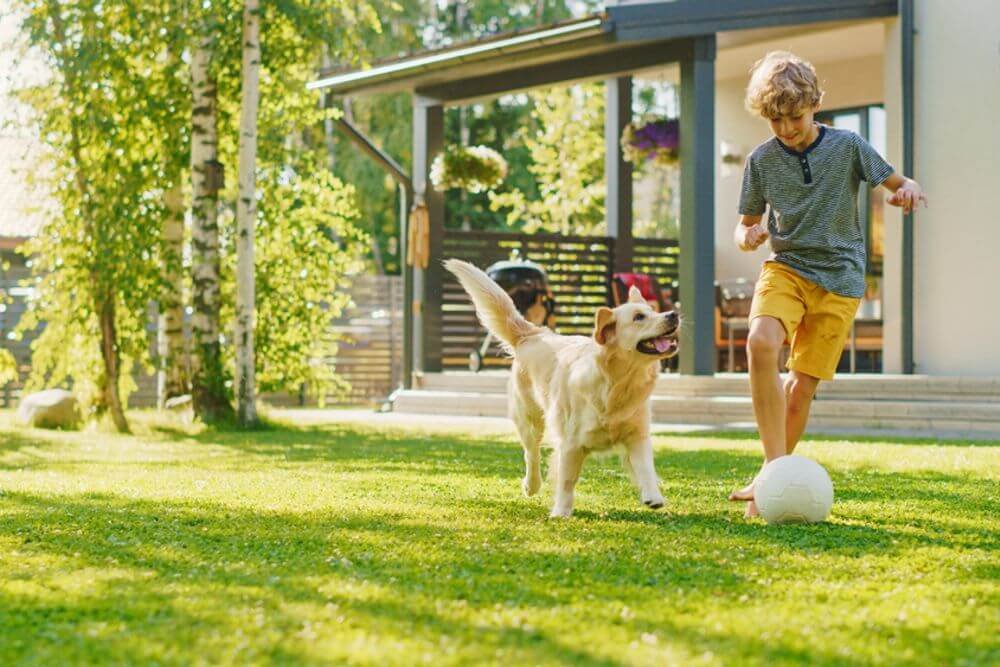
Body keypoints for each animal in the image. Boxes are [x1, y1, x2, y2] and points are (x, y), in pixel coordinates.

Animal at [448, 258, 676, 520]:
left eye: (653, 311)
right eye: (639, 317)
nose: (673, 314)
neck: (617, 383)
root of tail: (534, 333)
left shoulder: (637, 435)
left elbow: (646, 467)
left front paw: (653, 496)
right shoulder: (570, 443)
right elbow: (566, 481)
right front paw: (561, 511)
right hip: (529, 419)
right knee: (532, 454)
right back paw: (531, 485)